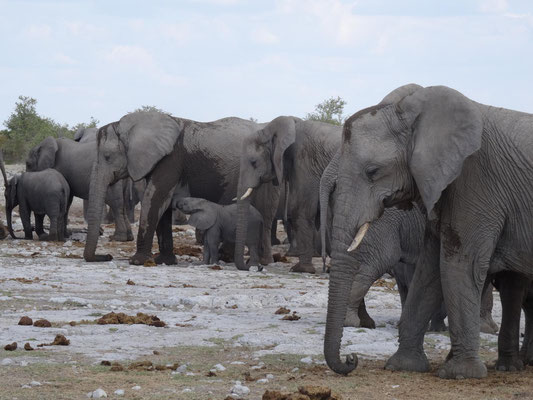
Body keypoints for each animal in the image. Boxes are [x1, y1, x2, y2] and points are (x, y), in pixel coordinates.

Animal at [83, 111, 278, 266]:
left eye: (107, 157)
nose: (106, 256)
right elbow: (163, 206)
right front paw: (165, 261)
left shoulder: (170, 159)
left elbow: (155, 199)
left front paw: (138, 261)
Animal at [322, 83, 532, 378]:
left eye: (373, 171)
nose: (351, 359)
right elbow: (429, 268)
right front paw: (403, 366)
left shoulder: (477, 182)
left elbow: (459, 264)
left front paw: (460, 374)